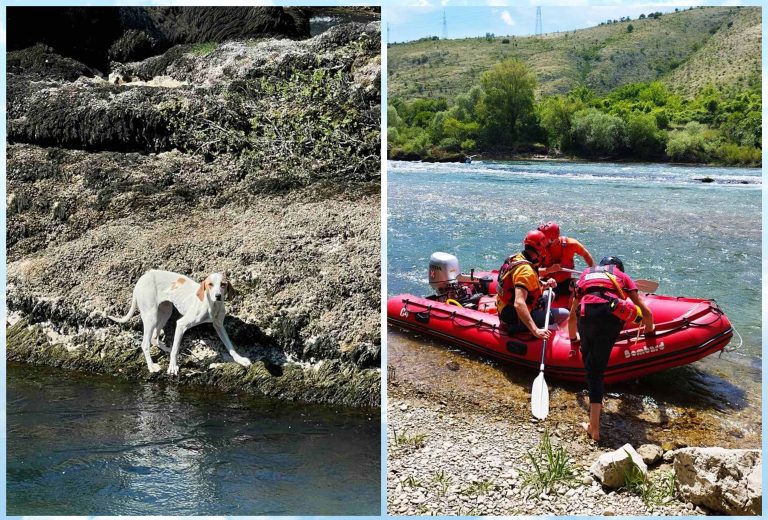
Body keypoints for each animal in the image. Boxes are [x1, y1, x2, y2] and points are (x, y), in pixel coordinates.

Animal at [109, 270, 252, 376]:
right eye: (210, 284)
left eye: (223, 284)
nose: (218, 296)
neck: (211, 305)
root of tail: (144, 276)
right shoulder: (181, 324)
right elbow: (176, 350)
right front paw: (173, 366)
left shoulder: (219, 326)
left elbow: (230, 346)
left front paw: (240, 360)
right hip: (151, 316)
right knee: (145, 344)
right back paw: (152, 366)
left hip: (165, 312)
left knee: (154, 339)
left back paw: (166, 348)